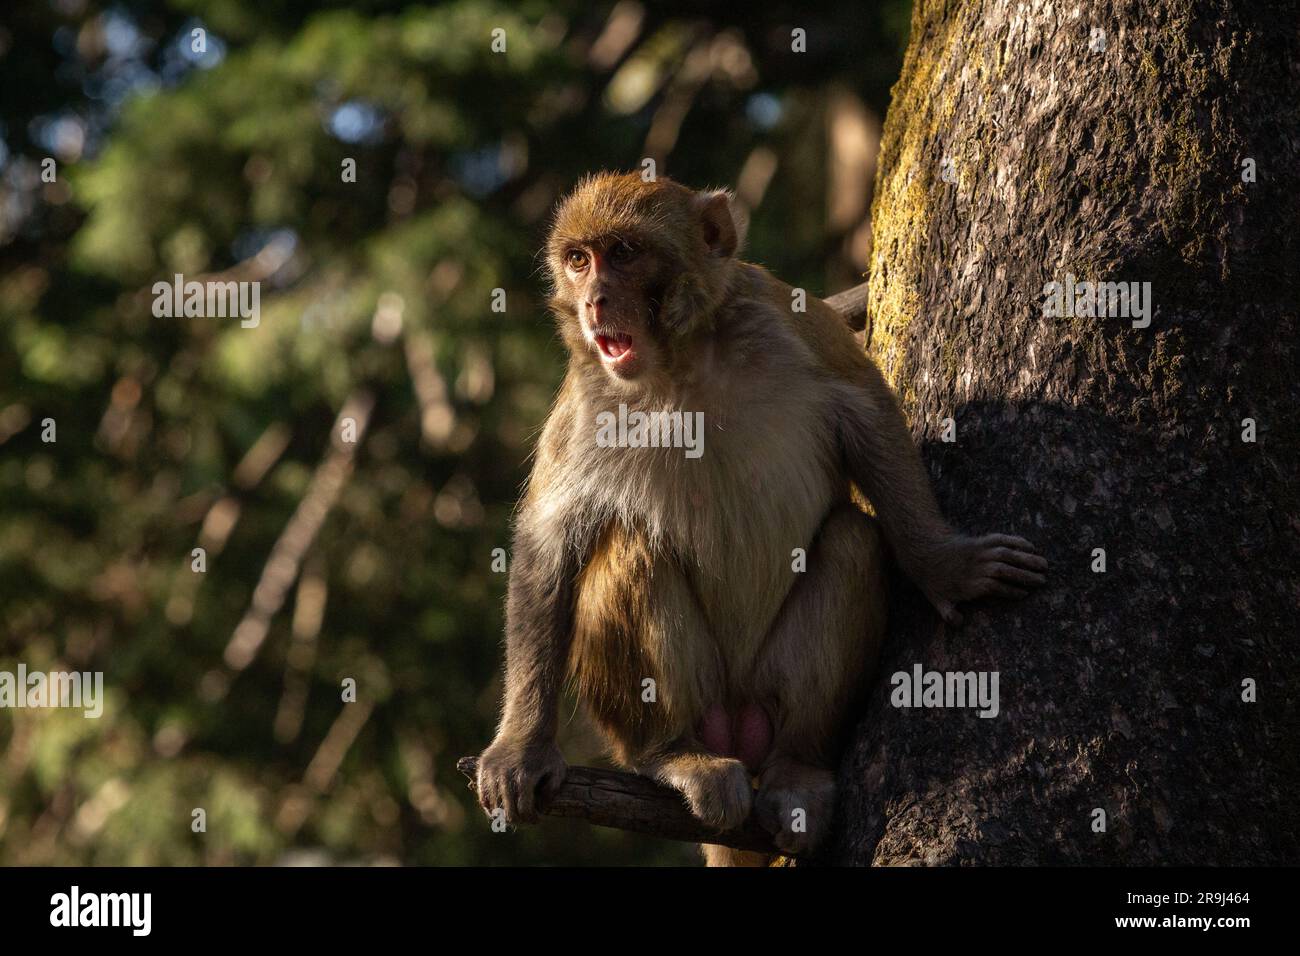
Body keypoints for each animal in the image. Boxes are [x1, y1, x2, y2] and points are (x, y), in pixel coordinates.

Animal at [475, 171, 1045, 868]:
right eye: (579, 260)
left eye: (625, 253)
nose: (594, 299)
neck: (682, 360)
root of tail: (736, 728)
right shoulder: (589, 394)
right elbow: (549, 539)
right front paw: (521, 747)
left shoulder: (780, 315)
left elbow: (866, 409)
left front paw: (945, 566)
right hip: (688, 704)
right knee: (630, 550)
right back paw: (671, 753)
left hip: (766, 693)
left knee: (852, 541)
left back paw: (797, 767)